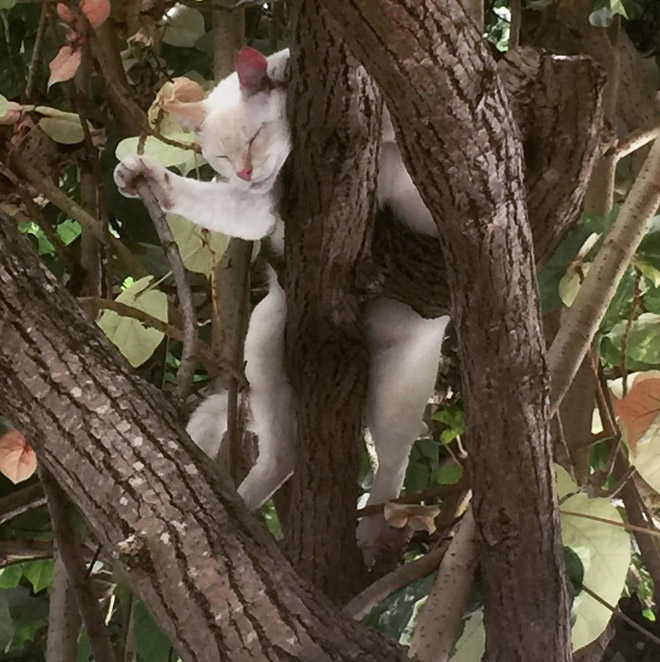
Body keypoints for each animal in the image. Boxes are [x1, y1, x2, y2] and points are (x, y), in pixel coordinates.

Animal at [116, 45, 452, 556]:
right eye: (222, 156)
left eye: (254, 137)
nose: (246, 173)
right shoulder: (260, 205)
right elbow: (229, 207)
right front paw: (149, 179)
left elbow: (394, 122)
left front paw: (284, 69)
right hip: (267, 334)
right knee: (284, 454)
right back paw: (241, 506)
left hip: (403, 381)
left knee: (393, 461)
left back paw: (379, 524)